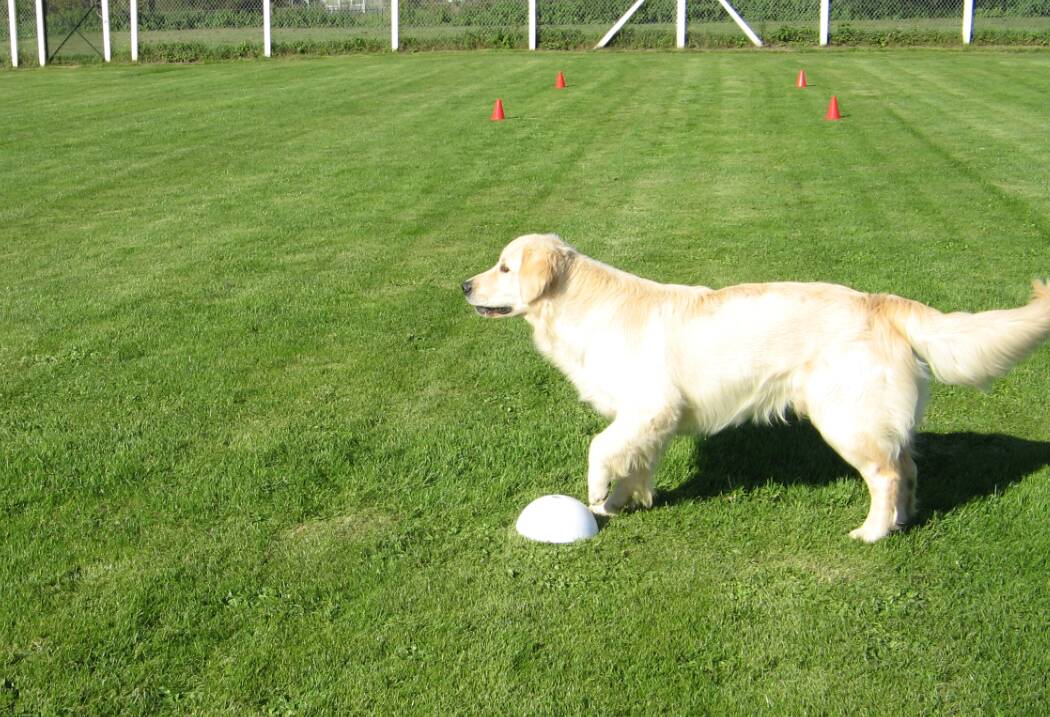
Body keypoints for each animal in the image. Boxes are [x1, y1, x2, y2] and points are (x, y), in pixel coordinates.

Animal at [466, 235, 1050, 545]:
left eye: (505, 267)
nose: (464, 285)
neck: (584, 309)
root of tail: (880, 302)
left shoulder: (650, 406)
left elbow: (600, 448)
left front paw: (595, 495)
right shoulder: (651, 420)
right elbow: (637, 464)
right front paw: (624, 502)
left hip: (845, 418)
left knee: (885, 474)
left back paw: (871, 533)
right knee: (906, 467)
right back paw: (901, 523)